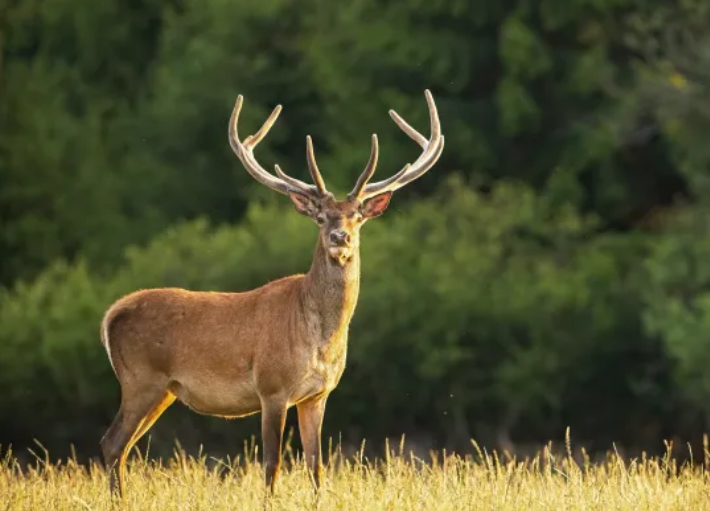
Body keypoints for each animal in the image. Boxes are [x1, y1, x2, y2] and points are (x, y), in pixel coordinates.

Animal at [100, 88, 444, 496]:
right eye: (320, 217)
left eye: (357, 216)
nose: (340, 237)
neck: (319, 338)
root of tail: (111, 315)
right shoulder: (272, 387)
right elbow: (272, 464)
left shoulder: (318, 394)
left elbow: (316, 466)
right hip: (140, 379)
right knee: (111, 443)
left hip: (163, 389)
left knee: (121, 447)